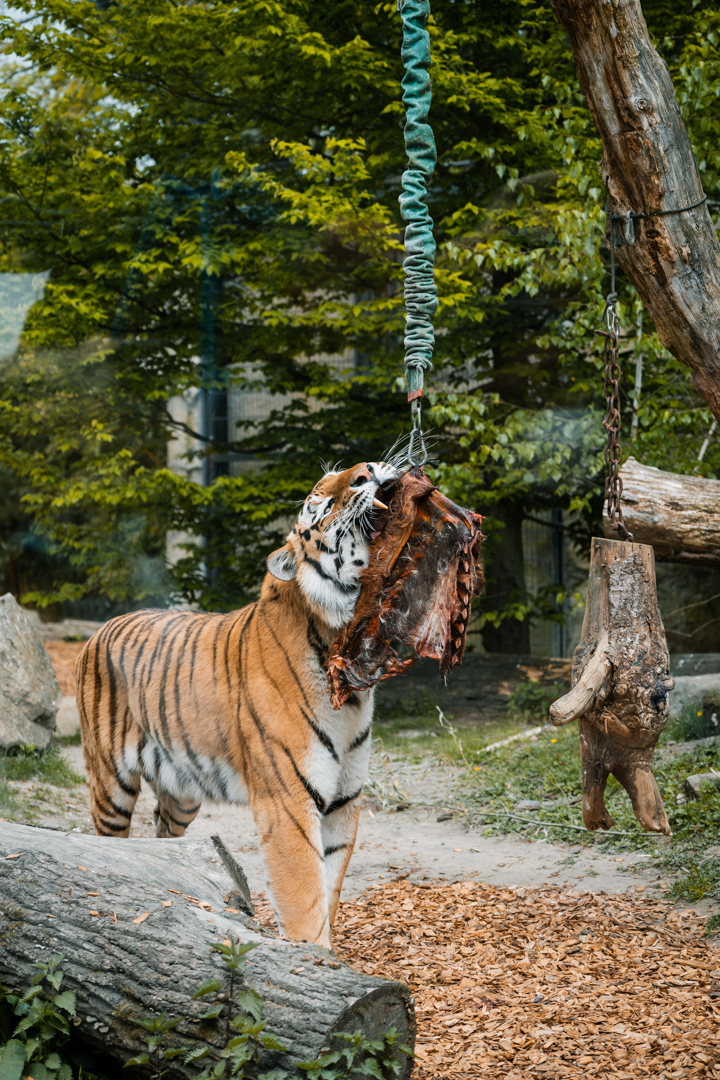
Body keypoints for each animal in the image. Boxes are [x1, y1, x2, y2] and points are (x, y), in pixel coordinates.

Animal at [76, 460, 400, 948]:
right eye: (319, 505)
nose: (366, 470)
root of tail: (97, 630)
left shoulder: (345, 800)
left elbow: (330, 888)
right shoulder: (287, 802)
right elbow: (305, 900)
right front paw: (315, 958)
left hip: (183, 791)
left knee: (165, 832)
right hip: (109, 782)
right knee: (110, 837)